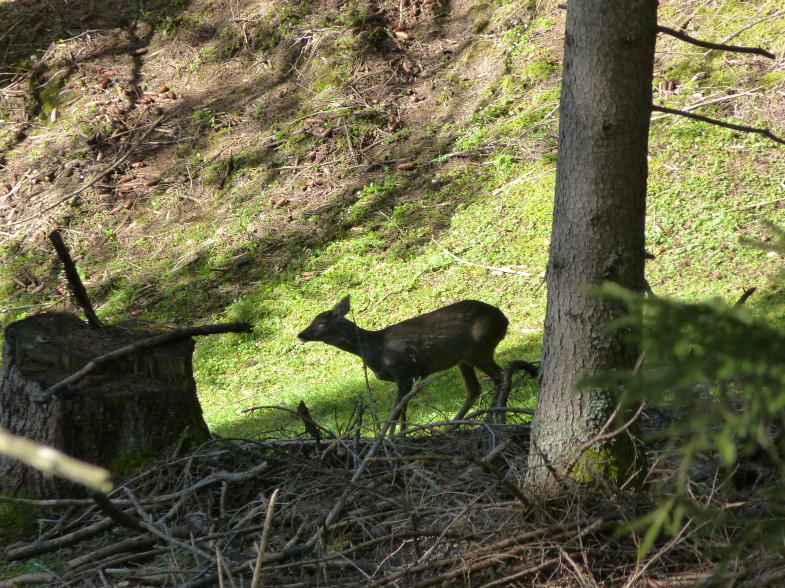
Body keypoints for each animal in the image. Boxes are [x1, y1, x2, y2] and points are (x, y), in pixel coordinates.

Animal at [296, 296, 540, 430]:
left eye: (322, 322)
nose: (301, 334)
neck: (376, 350)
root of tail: (504, 319)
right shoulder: (405, 377)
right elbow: (402, 410)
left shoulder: (403, 371)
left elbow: (395, 412)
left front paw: (390, 437)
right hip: (463, 358)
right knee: (475, 389)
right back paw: (453, 425)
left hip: (479, 348)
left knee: (499, 376)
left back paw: (490, 417)